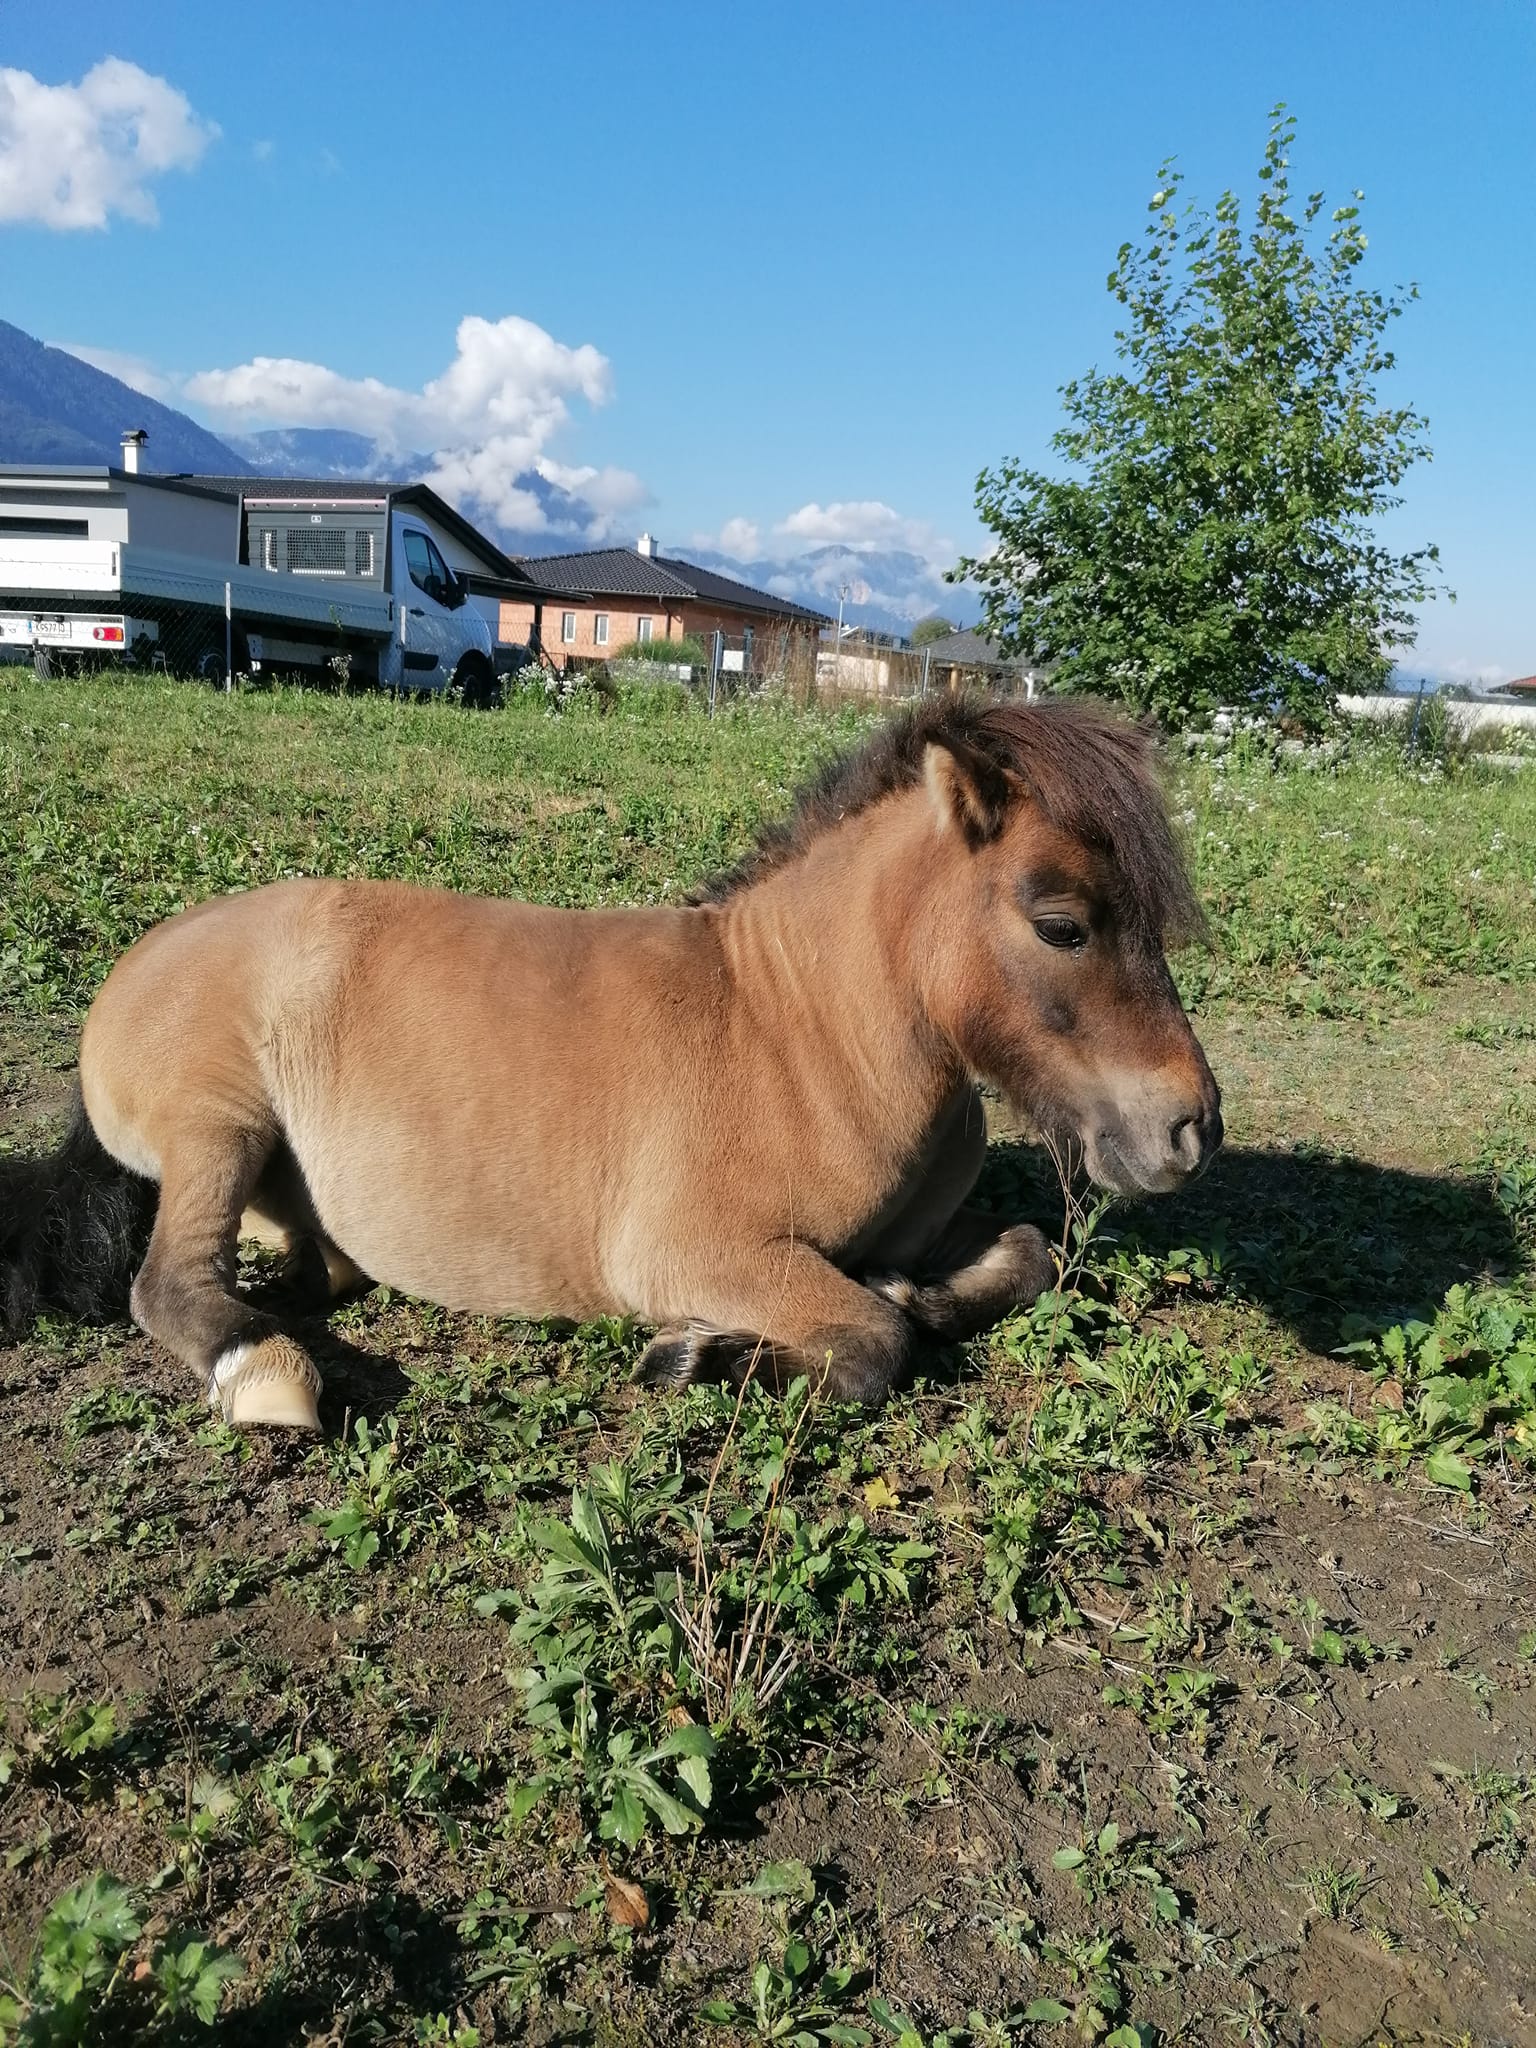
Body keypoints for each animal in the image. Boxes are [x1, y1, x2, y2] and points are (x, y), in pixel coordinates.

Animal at [0, 688, 1228, 1425]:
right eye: (1061, 924)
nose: (1191, 1129)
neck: (802, 1032)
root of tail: (143, 957)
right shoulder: (690, 1248)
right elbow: (875, 1341)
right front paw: (704, 1356)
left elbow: (1025, 1253)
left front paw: (906, 1286)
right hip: (220, 1120)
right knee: (170, 1282)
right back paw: (265, 1373)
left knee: (314, 1269)